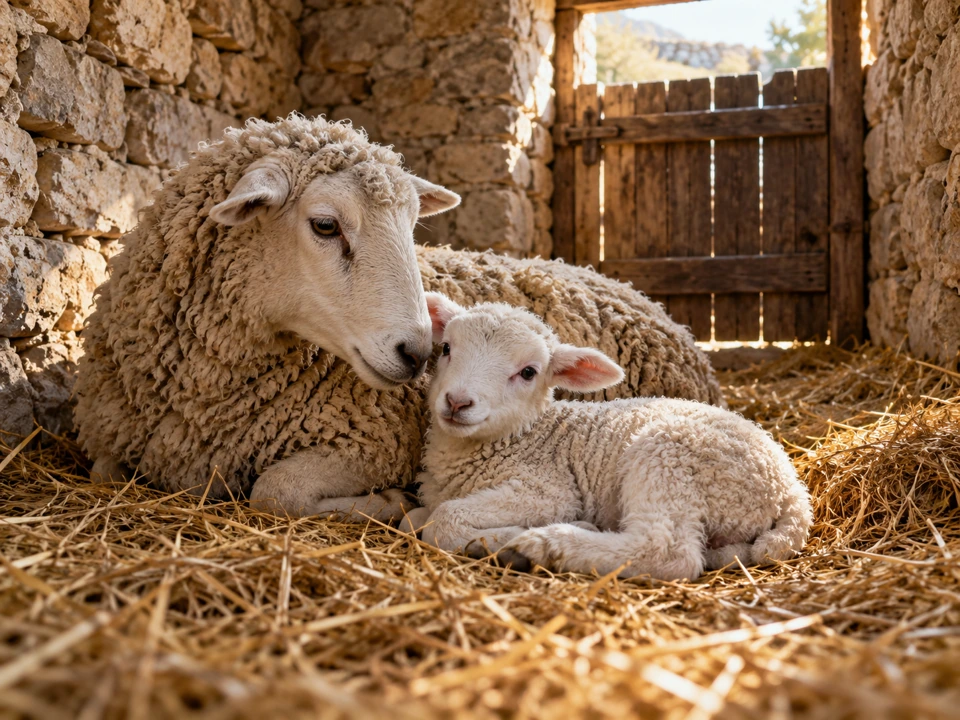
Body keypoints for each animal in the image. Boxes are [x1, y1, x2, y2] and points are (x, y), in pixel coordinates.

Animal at [75, 113, 725, 523]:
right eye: (325, 225)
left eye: (414, 225)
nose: (419, 353)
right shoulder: (112, 444)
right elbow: (104, 472)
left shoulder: (373, 445)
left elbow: (276, 490)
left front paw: (387, 504)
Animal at [409, 295, 812, 581]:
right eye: (447, 349)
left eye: (528, 372)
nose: (457, 402)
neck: (522, 435)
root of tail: (790, 487)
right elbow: (413, 518)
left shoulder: (548, 491)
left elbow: (443, 521)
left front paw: (502, 540)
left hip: (668, 459)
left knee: (668, 553)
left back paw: (547, 545)